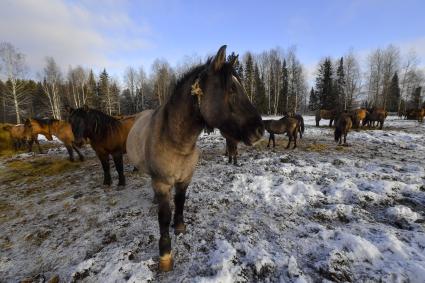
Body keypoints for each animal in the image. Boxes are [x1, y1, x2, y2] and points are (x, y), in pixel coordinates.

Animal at [125, 45, 262, 272]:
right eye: (231, 89)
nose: (260, 130)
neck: (175, 142)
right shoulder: (162, 183)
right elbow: (164, 217)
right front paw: (165, 254)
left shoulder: (185, 179)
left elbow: (180, 202)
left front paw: (180, 226)